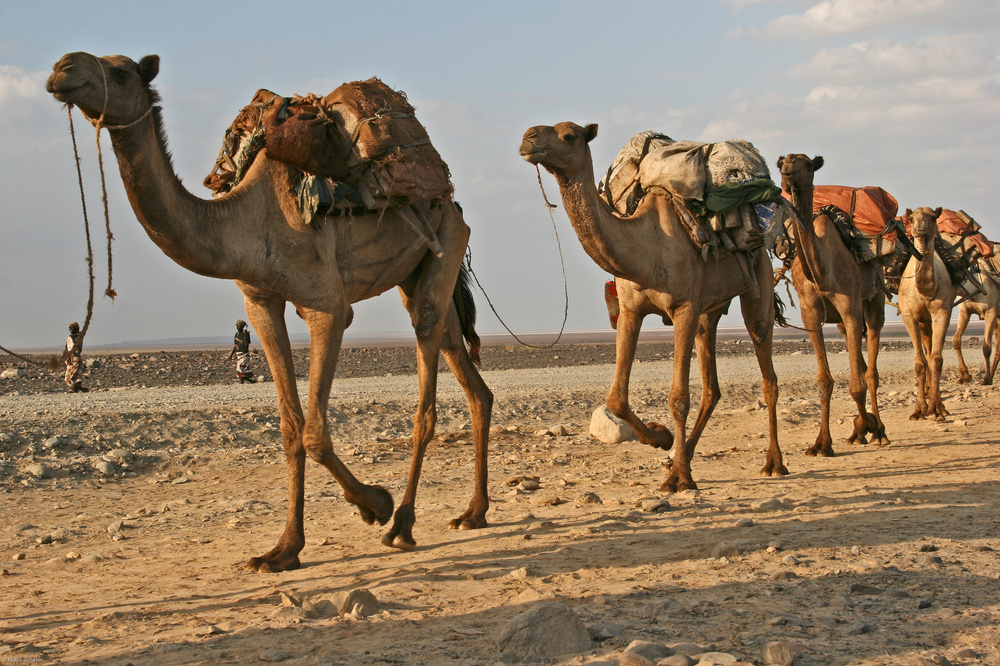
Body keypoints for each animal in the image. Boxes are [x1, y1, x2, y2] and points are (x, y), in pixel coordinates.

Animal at [48, 53, 494, 572]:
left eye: (119, 73)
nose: (62, 69)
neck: (250, 220)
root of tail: (451, 200)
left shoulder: (327, 307)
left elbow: (315, 432)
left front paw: (374, 504)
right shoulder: (259, 303)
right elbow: (290, 429)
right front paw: (282, 550)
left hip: (447, 240)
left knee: (426, 374)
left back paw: (401, 523)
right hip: (417, 270)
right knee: (468, 373)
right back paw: (473, 512)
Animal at [520, 122, 784, 490]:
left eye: (570, 135)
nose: (528, 138)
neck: (647, 248)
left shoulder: (685, 308)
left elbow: (678, 398)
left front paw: (681, 479)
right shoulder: (631, 310)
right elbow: (616, 398)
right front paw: (662, 439)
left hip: (757, 281)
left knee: (767, 372)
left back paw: (773, 462)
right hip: (710, 312)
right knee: (712, 388)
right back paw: (680, 456)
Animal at [776, 154, 888, 454]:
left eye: (808, 165)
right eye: (782, 163)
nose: (788, 174)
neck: (823, 272)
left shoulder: (850, 306)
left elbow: (858, 386)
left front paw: (869, 426)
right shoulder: (810, 312)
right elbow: (824, 382)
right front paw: (821, 444)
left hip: (874, 300)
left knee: (871, 369)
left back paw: (879, 431)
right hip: (840, 320)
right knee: (860, 362)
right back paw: (859, 431)